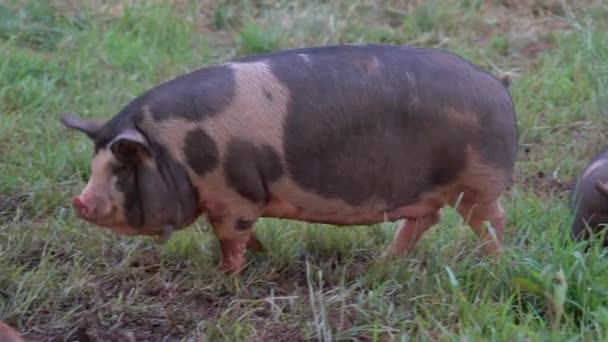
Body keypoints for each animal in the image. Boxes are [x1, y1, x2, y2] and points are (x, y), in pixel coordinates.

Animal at [60, 43, 516, 272]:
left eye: (121, 168)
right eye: (95, 163)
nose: (80, 202)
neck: (177, 152)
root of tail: (498, 84)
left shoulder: (235, 196)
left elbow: (230, 238)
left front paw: (223, 276)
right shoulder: (229, 201)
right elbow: (239, 235)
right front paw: (259, 256)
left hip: (478, 183)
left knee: (491, 221)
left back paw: (496, 266)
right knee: (425, 220)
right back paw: (379, 267)